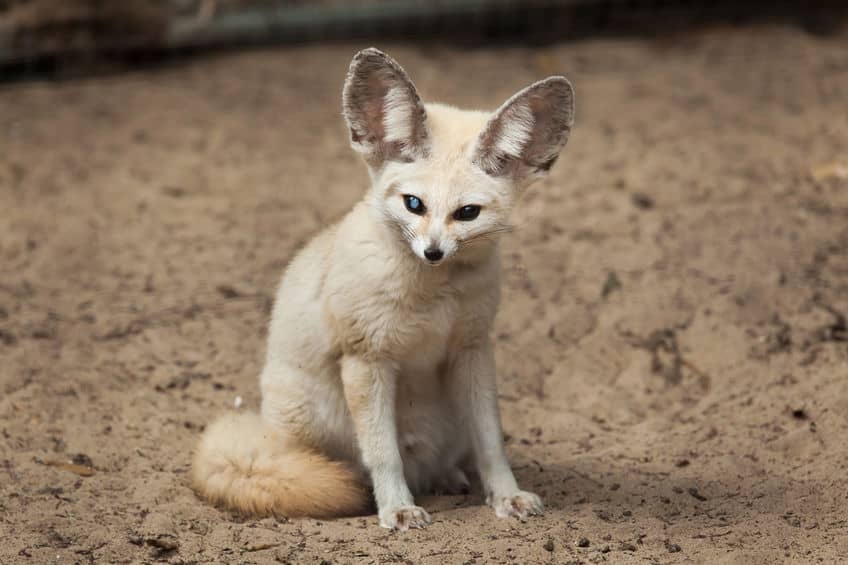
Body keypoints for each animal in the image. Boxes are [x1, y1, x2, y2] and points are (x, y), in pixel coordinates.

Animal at [194, 47, 576, 528]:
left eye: (467, 213)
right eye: (414, 204)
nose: (433, 251)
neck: (434, 298)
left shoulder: (472, 350)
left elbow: (492, 443)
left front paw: (506, 495)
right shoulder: (367, 358)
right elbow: (382, 452)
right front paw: (396, 507)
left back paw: (449, 477)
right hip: (309, 419)